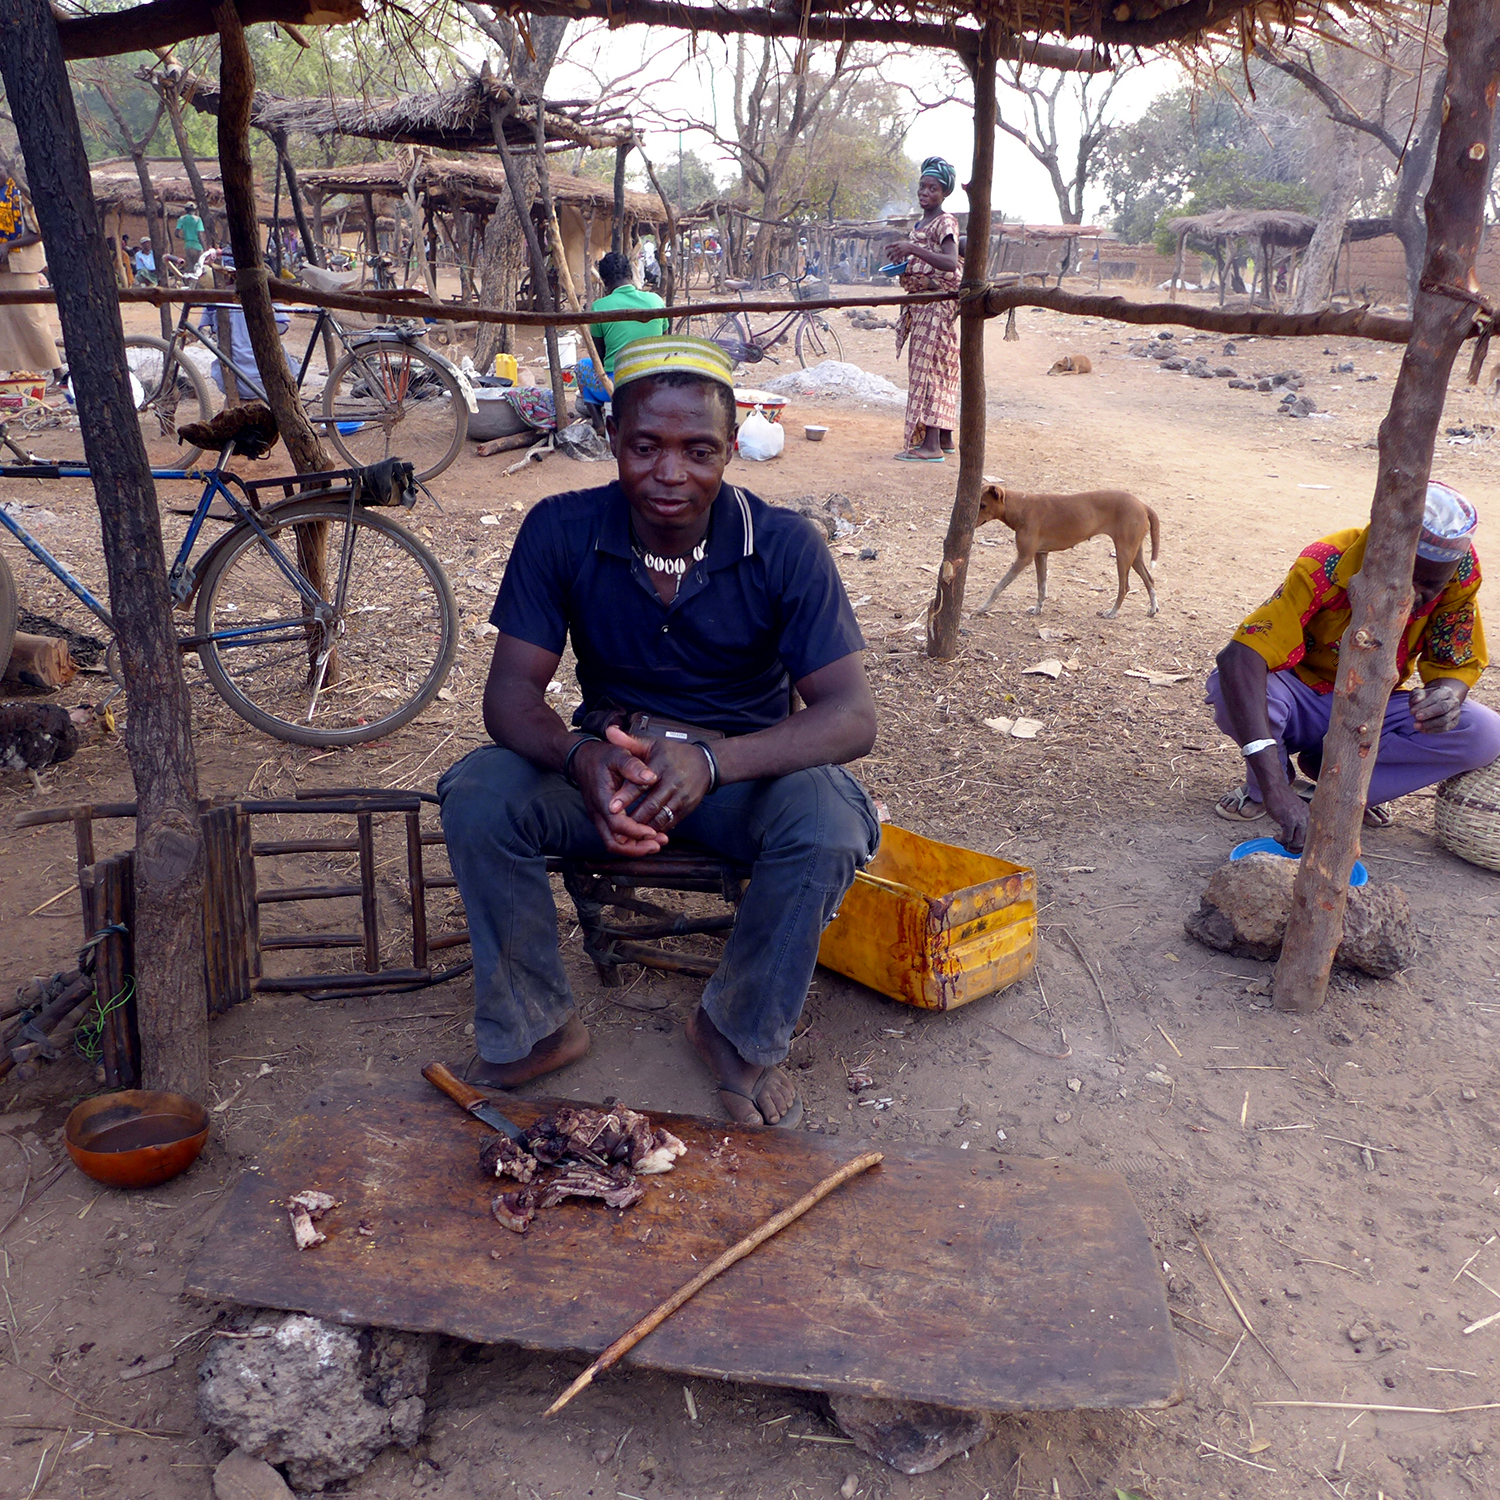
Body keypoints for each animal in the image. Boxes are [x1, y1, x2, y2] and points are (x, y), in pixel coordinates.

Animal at [972, 483, 1158, 618]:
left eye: (983, 505)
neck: (1022, 507)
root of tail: (1143, 505)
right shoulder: (1040, 555)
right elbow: (1041, 587)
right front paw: (1038, 609)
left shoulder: (1024, 558)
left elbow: (999, 586)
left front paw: (983, 607)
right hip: (1134, 555)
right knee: (1150, 579)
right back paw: (1153, 609)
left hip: (1123, 554)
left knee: (1124, 586)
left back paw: (1112, 612)